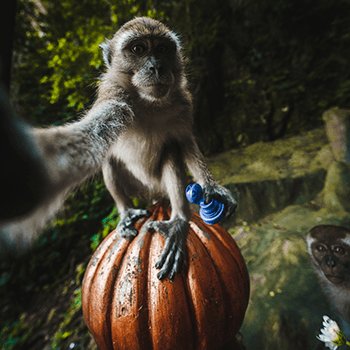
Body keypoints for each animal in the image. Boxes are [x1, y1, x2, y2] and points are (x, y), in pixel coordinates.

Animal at [0, 17, 235, 282]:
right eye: (138, 49)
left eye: (163, 49)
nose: (156, 67)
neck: (149, 102)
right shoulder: (114, 95)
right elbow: (95, 132)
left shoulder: (183, 102)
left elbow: (184, 142)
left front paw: (212, 188)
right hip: (138, 188)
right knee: (109, 159)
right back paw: (127, 212)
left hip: (156, 185)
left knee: (171, 153)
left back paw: (178, 221)